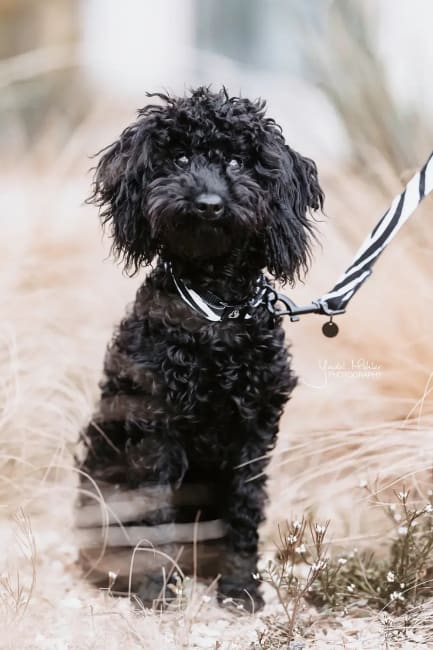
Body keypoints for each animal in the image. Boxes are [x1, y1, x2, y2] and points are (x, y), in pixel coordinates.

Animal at [77, 88, 320, 612]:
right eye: (180, 157)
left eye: (237, 160)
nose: (209, 204)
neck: (214, 315)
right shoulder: (155, 429)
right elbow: (156, 510)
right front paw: (154, 588)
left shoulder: (253, 431)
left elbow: (244, 512)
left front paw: (241, 588)